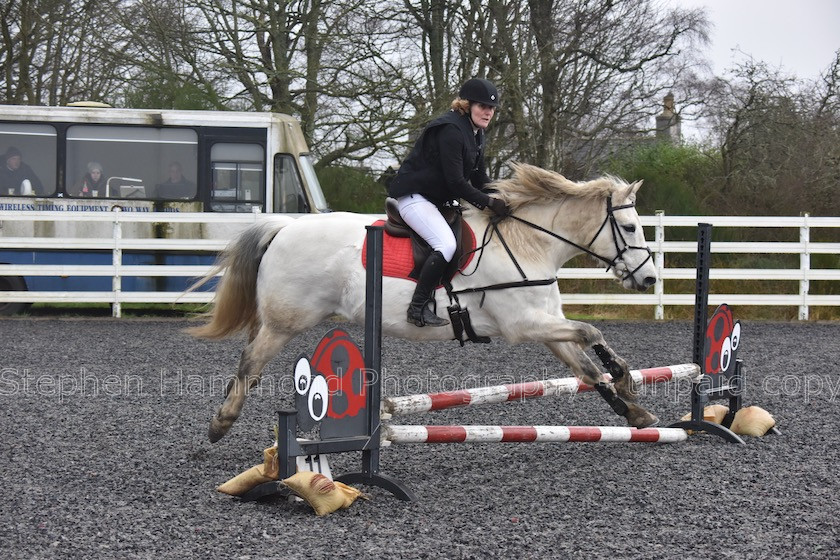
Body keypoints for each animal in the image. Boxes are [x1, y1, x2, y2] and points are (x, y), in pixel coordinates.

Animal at [190, 162, 664, 442]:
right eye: (629, 226)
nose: (648, 278)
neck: (529, 243)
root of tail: (285, 226)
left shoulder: (546, 325)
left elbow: (585, 364)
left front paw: (632, 409)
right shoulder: (523, 325)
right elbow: (591, 332)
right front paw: (626, 382)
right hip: (286, 321)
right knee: (251, 363)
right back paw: (220, 423)